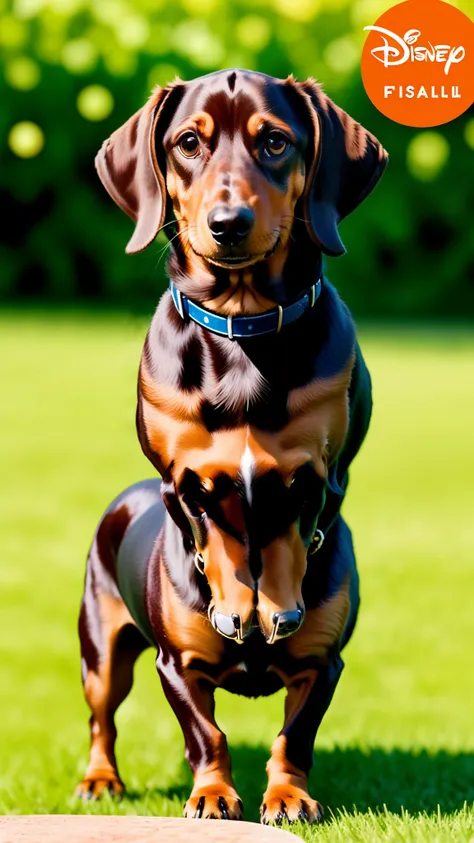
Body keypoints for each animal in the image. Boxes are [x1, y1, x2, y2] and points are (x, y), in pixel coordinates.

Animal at [78, 67, 386, 824]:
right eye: (189, 142)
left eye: (274, 142)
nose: (228, 224)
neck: (242, 325)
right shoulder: (177, 488)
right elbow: (206, 731)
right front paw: (214, 792)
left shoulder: (323, 650)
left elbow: (294, 734)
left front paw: (288, 794)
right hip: (102, 648)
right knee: (102, 716)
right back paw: (100, 779)